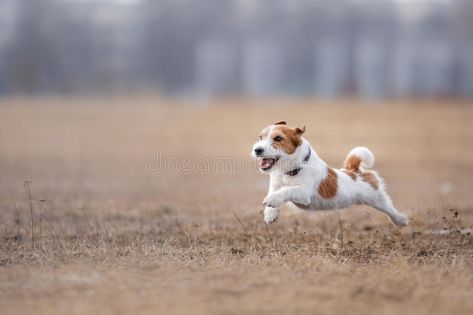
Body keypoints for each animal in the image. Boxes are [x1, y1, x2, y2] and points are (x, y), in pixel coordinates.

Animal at [251, 121, 410, 227]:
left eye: (278, 138)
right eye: (260, 137)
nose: (257, 150)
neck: (289, 170)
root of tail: (354, 171)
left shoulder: (303, 193)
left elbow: (287, 190)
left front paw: (272, 200)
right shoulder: (275, 184)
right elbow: (275, 192)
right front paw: (270, 214)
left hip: (377, 199)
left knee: (389, 209)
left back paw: (400, 220)